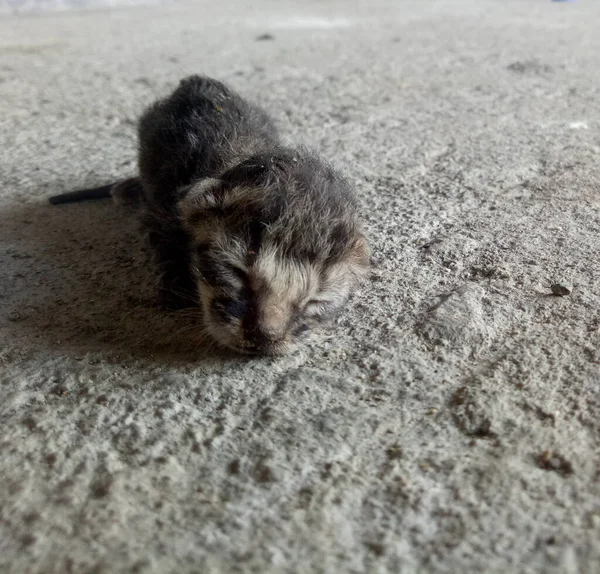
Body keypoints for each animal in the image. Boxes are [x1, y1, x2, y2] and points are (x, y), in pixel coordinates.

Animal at [49, 75, 370, 356]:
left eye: (315, 301)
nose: (265, 337)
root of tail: (197, 80)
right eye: (236, 272)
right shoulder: (161, 208)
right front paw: (176, 282)